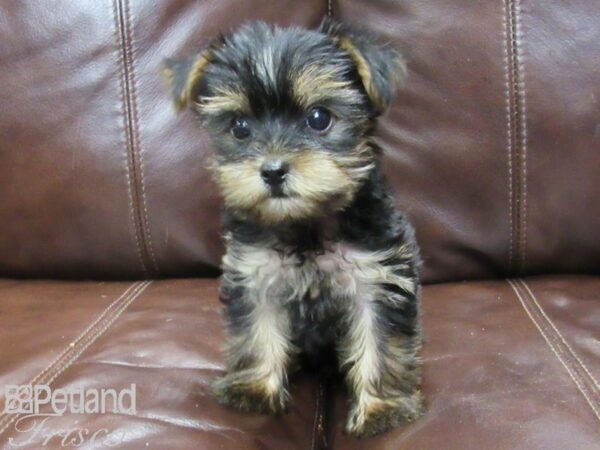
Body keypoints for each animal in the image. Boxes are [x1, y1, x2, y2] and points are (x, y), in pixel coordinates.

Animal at [164, 19, 424, 438]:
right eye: (239, 127)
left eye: (319, 118)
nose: (272, 170)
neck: (305, 224)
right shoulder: (255, 273)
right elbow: (258, 329)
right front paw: (255, 388)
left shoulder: (377, 277)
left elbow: (380, 341)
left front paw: (382, 408)